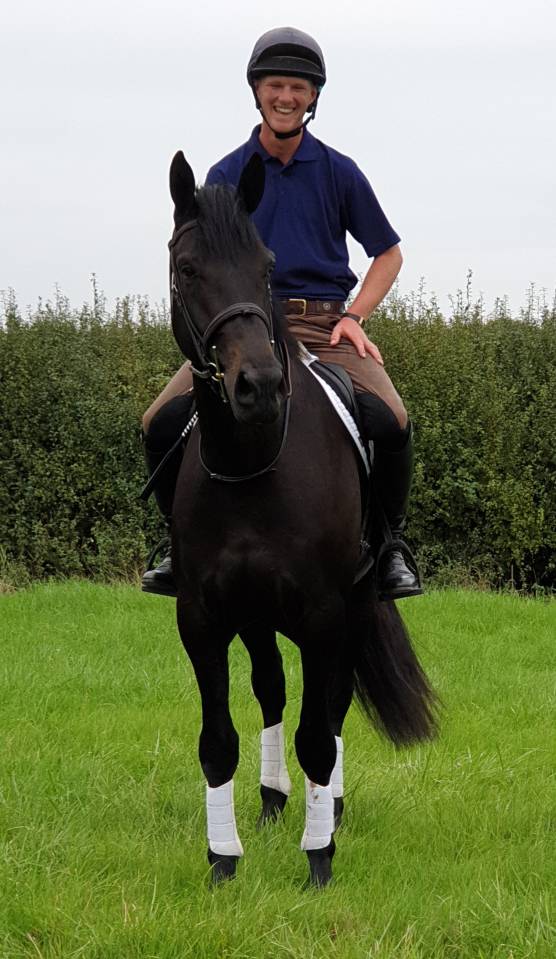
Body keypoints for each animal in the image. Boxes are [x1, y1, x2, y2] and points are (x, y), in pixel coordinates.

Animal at [166, 150, 436, 887]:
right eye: (187, 268)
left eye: (266, 267)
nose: (257, 386)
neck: (256, 460)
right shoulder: (202, 617)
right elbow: (217, 738)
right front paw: (223, 860)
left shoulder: (324, 613)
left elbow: (320, 732)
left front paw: (319, 858)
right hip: (259, 617)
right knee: (273, 690)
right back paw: (272, 798)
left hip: (351, 608)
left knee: (331, 707)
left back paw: (328, 808)